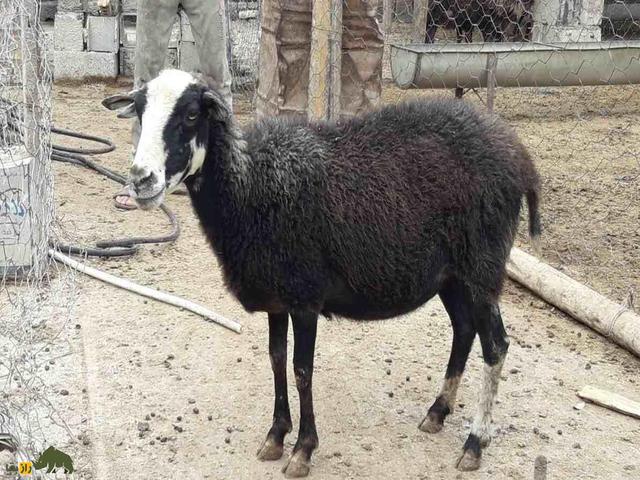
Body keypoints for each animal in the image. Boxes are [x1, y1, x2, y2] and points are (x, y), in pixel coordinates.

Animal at [103, 69, 541, 478]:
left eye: (192, 114)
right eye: (139, 111)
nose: (141, 180)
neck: (252, 187)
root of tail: (518, 153)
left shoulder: (305, 296)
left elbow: (302, 370)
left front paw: (302, 450)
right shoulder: (276, 298)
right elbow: (276, 359)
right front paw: (275, 437)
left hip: (482, 266)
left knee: (496, 345)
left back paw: (475, 442)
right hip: (451, 275)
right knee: (464, 330)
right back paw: (437, 413)